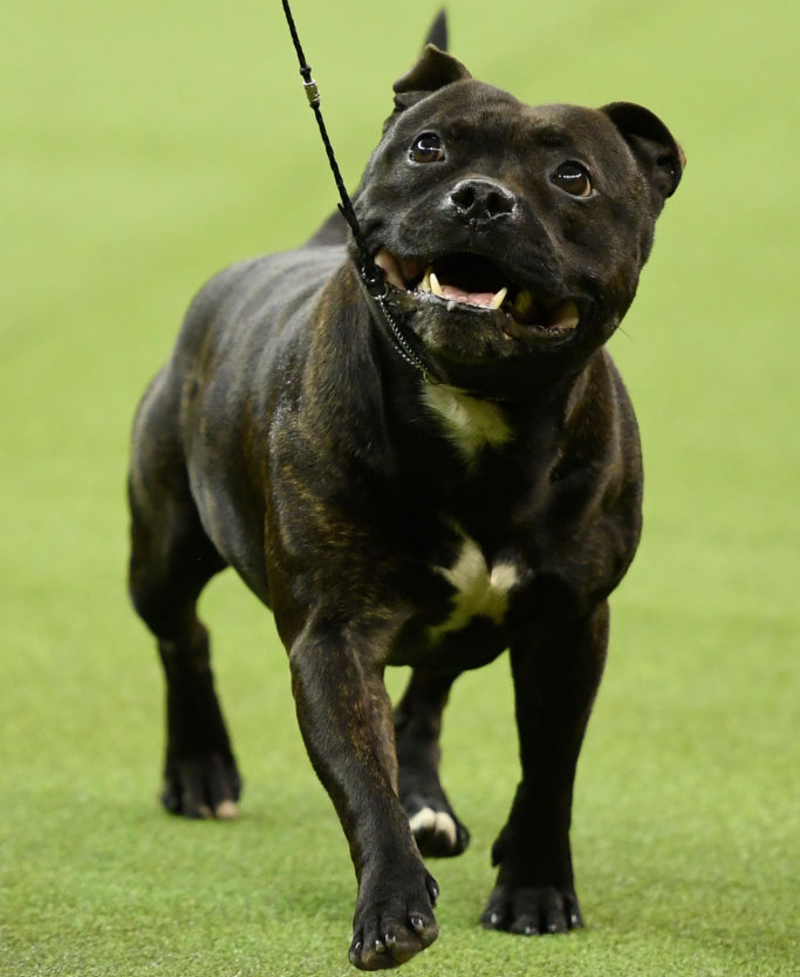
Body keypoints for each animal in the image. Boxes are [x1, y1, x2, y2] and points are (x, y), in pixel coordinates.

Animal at [128, 9, 684, 968]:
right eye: (430, 147)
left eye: (573, 178)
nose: (481, 198)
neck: (479, 415)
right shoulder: (333, 632)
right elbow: (361, 775)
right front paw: (392, 903)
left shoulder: (571, 625)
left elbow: (550, 767)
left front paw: (534, 887)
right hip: (161, 548)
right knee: (183, 634)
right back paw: (201, 768)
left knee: (426, 689)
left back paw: (426, 797)